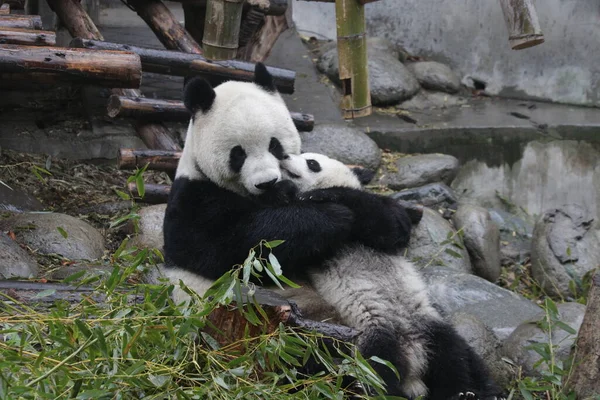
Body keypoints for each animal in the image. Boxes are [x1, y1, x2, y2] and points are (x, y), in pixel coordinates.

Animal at [162, 63, 412, 304]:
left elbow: (393, 224)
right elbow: (232, 248)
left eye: (274, 144)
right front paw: (332, 216)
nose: (267, 182)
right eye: (238, 154)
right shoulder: (193, 198)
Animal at [278, 152, 504, 400]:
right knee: (380, 369)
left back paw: (468, 391)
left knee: (454, 355)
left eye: (311, 162)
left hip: (426, 322)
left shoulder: (379, 227)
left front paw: (323, 193)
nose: (284, 155)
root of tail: (414, 358)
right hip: (374, 331)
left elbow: (388, 225)